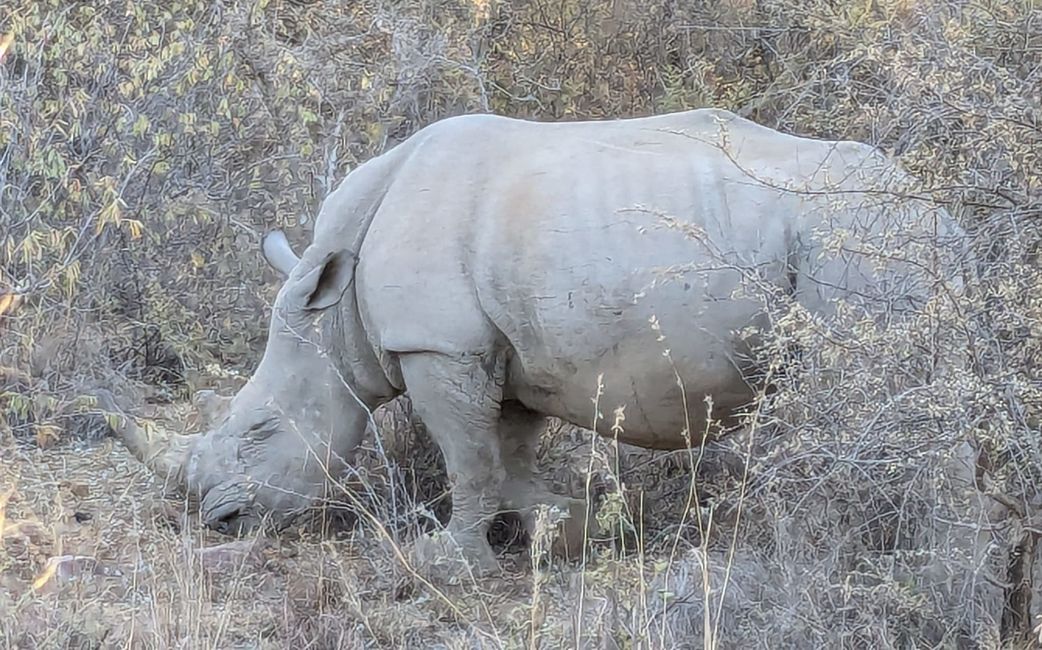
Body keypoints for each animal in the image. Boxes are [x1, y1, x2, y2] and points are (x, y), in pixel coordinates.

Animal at [105, 109, 966, 575]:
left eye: (259, 429)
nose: (218, 521)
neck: (337, 312)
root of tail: (941, 213)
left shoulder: (436, 345)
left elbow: (469, 459)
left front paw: (449, 563)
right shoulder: (506, 348)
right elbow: (506, 454)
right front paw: (574, 524)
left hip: (860, 238)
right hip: (878, 239)